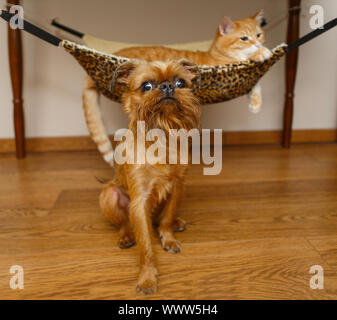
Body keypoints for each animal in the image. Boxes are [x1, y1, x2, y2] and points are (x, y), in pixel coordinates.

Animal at [82, 9, 270, 166]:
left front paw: (256, 104)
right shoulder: (226, 64)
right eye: (244, 39)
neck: (215, 54)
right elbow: (247, 61)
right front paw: (261, 53)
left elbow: (256, 87)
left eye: (259, 35)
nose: (258, 44)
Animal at [98, 58, 201, 294]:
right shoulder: (139, 201)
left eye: (180, 83)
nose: (168, 86)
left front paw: (168, 237)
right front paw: (147, 277)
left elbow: (167, 217)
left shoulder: (178, 187)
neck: (161, 137)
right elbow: (145, 245)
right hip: (109, 194)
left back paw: (175, 223)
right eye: (146, 86)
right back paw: (126, 236)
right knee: (124, 223)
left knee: (160, 219)